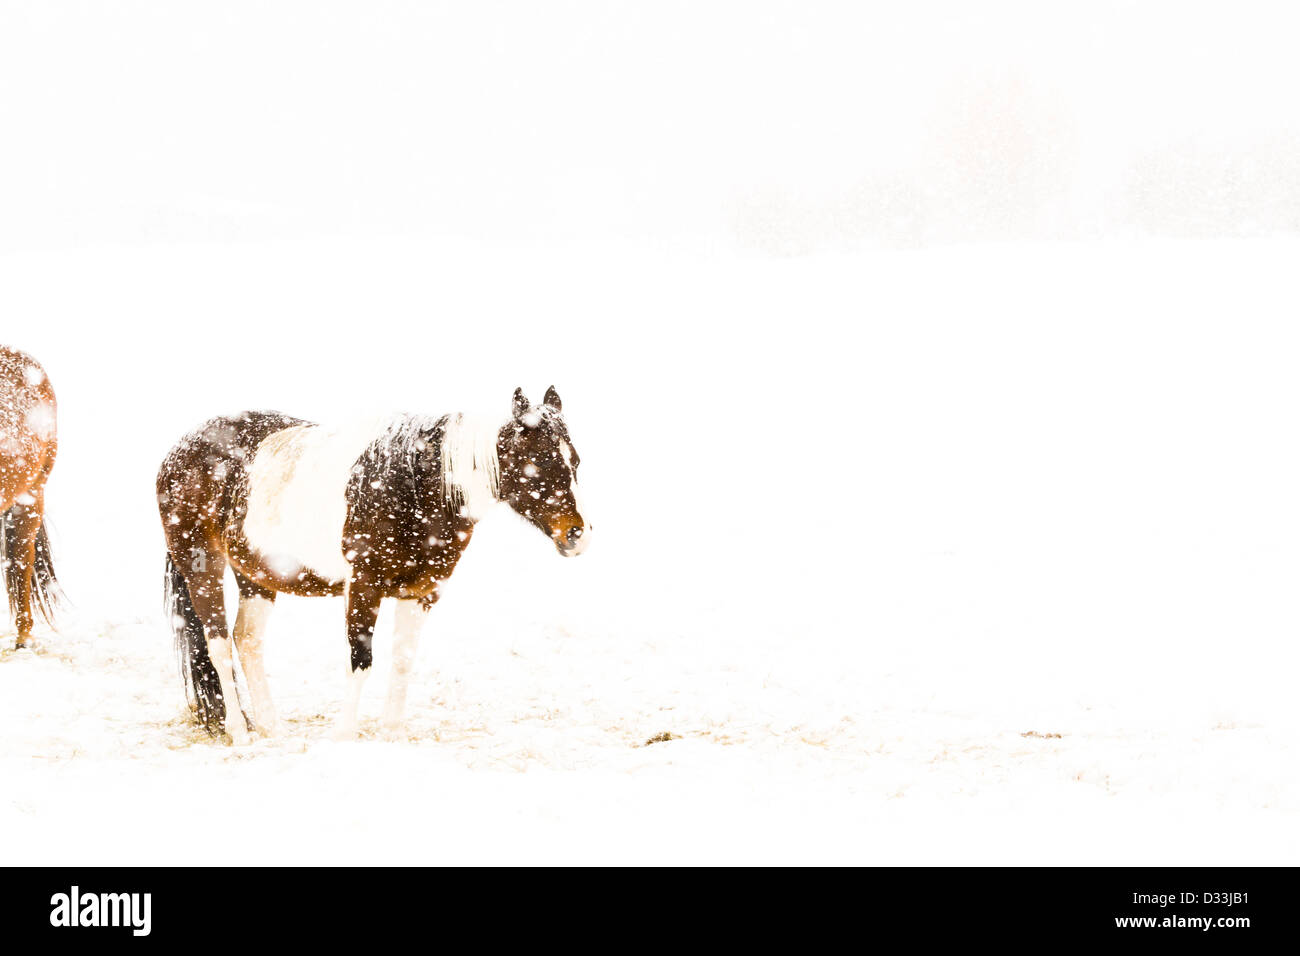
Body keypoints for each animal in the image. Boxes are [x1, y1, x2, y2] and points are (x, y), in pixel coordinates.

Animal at [156, 386, 590, 744]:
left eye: (575, 461)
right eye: (537, 460)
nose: (577, 535)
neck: (411, 487)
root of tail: (179, 451)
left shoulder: (422, 591)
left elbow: (402, 660)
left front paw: (391, 732)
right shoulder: (365, 585)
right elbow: (360, 659)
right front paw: (345, 734)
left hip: (256, 576)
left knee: (246, 640)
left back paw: (271, 728)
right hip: (204, 567)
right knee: (218, 644)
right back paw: (239, 732)